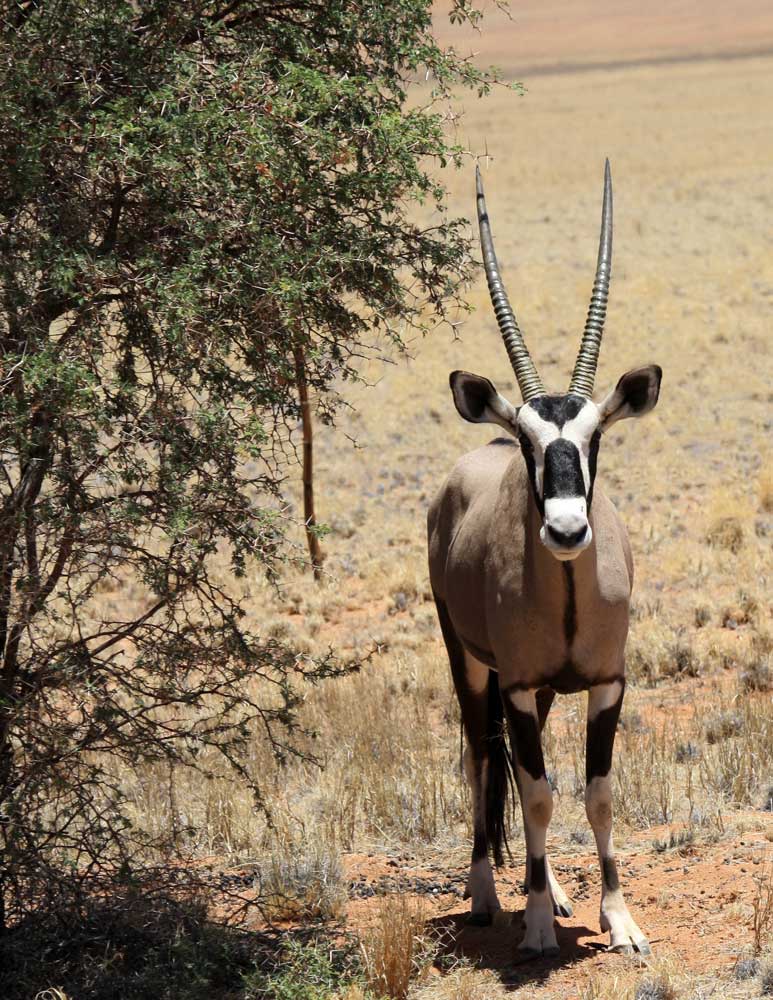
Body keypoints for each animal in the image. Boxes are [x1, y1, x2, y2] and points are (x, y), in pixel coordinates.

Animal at [426, 164, 660, 960]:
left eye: (595, 438)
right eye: (530, 442)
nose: (564, 529)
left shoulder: (605, 682)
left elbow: (594, 792)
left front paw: (619, 920)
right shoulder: (522, 685)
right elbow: (533, 792)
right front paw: (530, 927)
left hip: (538, 688)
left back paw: (552, 889)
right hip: (470, 664)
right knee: (480, 758)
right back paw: (486, 895)